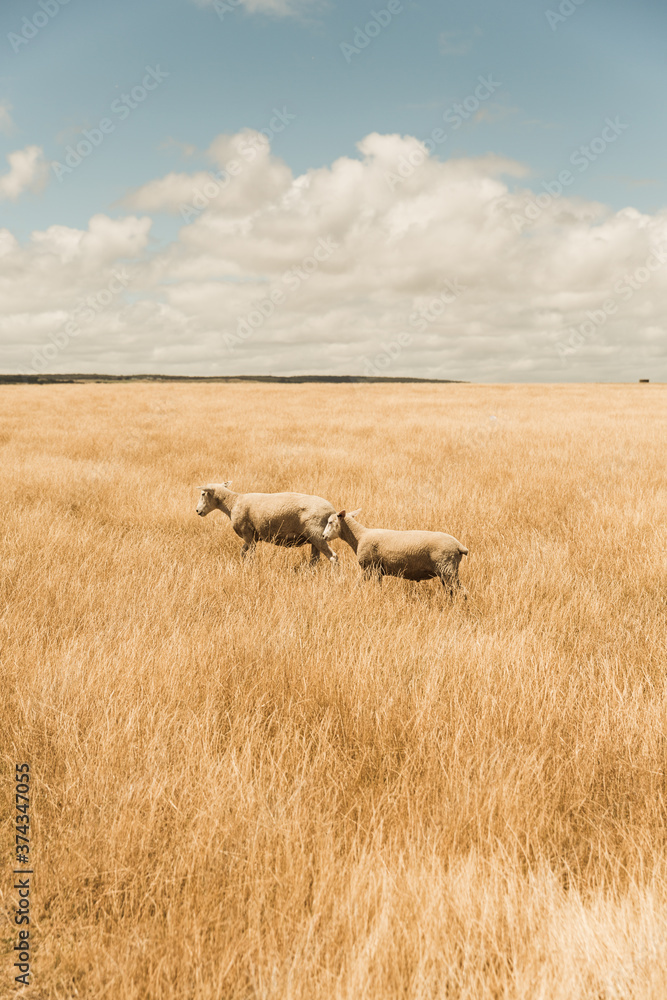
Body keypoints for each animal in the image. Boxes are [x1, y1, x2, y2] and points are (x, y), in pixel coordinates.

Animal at [196, 482, 342, 568]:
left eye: (203, 493)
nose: (197, 511)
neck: (232, 503)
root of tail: (333, 512)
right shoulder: (254, 537)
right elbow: (243, 552)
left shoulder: (248, 534)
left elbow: (248, 554)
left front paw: (249, 567)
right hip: (314, 539)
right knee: (315, 559)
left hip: (317, 535)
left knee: (333, 557)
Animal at [324, 508, 470, 592]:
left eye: (330, 522)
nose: (323, 536)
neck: (360, 536)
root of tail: (459, 546)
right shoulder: (378, 570)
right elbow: (378, 588)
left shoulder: (368, 568)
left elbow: (358, 585)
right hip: (448, 571)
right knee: (451, 591)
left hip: (447, 569)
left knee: (462, 592)